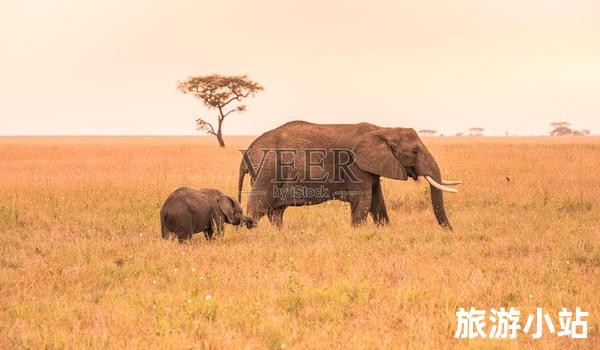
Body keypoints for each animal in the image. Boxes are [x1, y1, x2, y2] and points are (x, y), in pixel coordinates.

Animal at [237, 121, 462, 230]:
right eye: (415, 151)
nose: (451, 231)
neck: (383, 130)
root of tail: (248, 150)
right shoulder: (354, 166)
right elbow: (362, 202)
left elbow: (377, 203)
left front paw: (385, 232)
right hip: (268, 169)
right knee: (259, 207)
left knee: (276, 212)